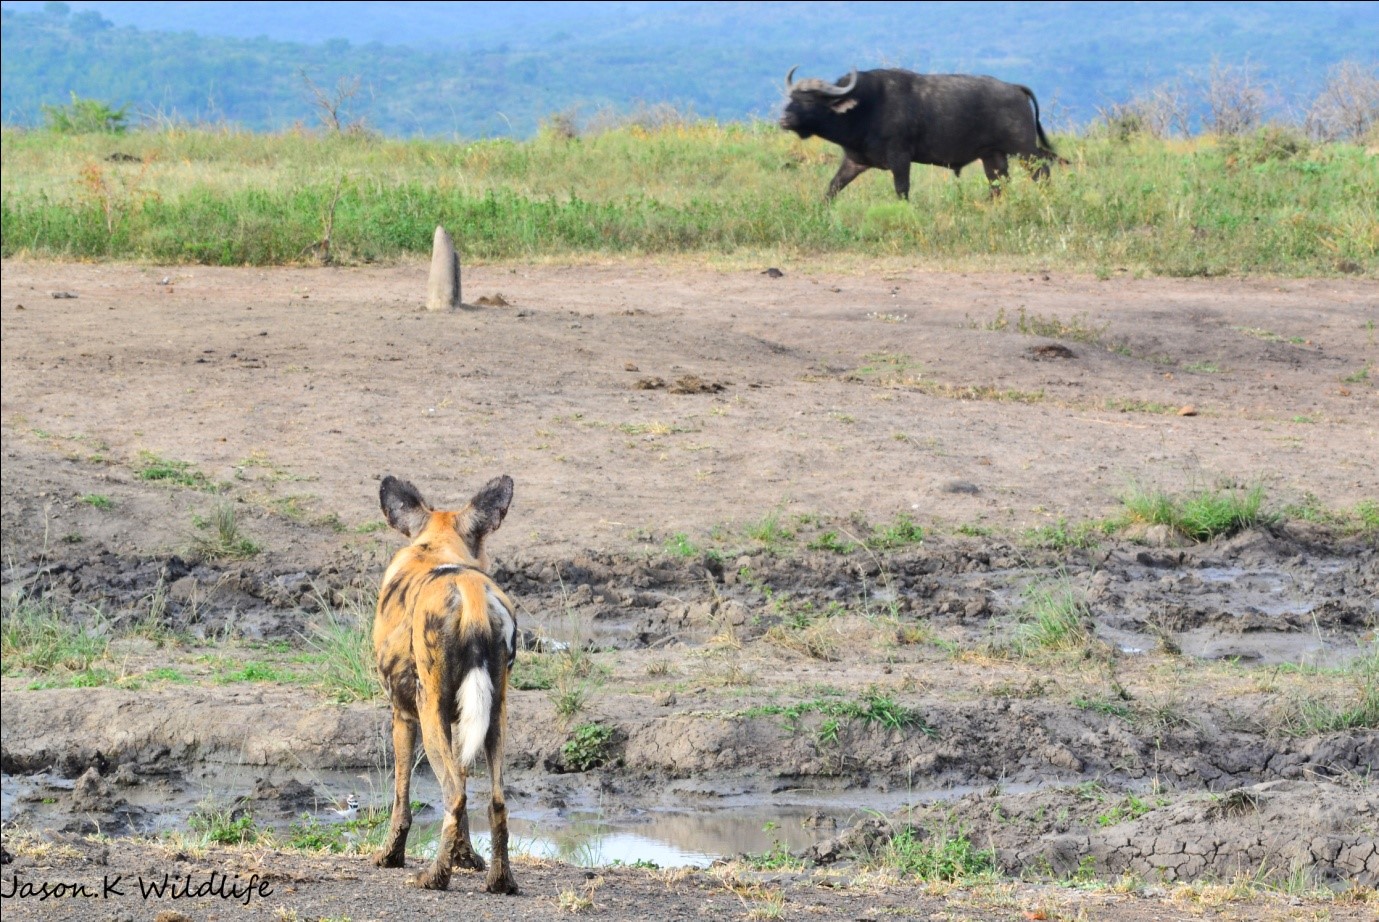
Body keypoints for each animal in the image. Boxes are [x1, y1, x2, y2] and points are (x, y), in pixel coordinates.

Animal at [372, 474, 518, 893]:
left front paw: (390, 856)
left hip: (429, 713)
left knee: (452, 796)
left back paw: (434, 877)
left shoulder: (403, 716)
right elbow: (468, 789)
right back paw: (501, 880)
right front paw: (465, 857)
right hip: (495, 717)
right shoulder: (461, 722)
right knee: (495, 800)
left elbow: (401, 798)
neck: (435, 546)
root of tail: (469, 592)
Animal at [783, 67, 1059, 198]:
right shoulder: (854, 162)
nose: (784, 119)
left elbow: (902, 189)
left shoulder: (900, 157)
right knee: (998, 185)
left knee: (1043, 174)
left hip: (1024, 150)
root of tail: (1015, 88)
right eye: (792, 97)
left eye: (811, 100)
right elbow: (832, 188)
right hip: (993, 157)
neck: (866, 106)